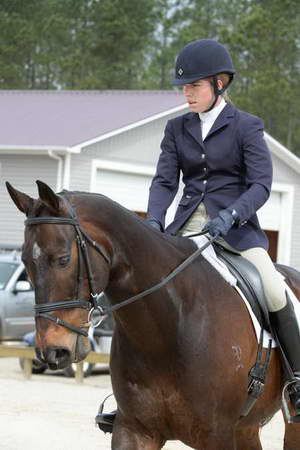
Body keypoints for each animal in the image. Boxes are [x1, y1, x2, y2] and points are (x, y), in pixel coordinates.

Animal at [6, 180, 300, 450]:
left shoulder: (218, 435)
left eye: (63, 259)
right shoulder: (134, 431)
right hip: (246, 428)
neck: (166, 328)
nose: (52, 351)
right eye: (25, 262)